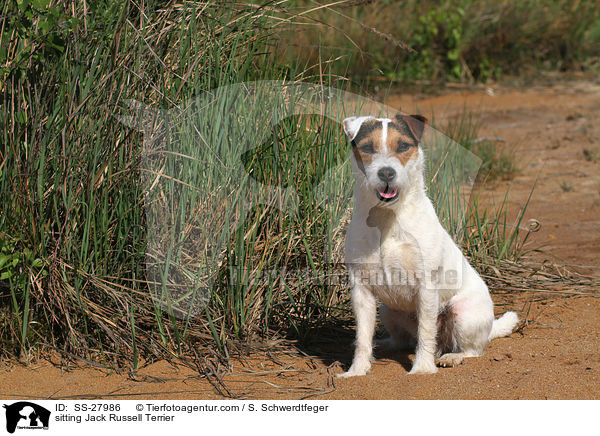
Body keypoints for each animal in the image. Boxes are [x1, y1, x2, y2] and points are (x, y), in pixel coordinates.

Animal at [340, 112, 516, 374]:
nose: (386, 173)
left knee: (473, 350)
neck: (387, 218)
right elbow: (362, 337)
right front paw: (357, 371)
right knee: (401, 340)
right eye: (368, 148)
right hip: (388, 311)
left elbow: (425, 332)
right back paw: (382, 345)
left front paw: (422, 368)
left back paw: (452, 357)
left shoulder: (426, 285)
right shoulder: (361, 290)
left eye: (403, 146)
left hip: (463, 315)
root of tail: (491, 328)